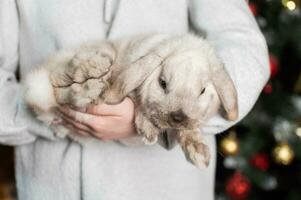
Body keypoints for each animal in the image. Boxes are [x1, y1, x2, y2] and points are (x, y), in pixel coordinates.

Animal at [23, 33, 238, 168]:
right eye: (162, 83)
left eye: (202, 91)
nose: (177, 117)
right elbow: (138, 103)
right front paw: (148, 130)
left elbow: (189, 130)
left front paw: (199, 153)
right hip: (86, 57)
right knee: (61, 80)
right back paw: (94, 73)